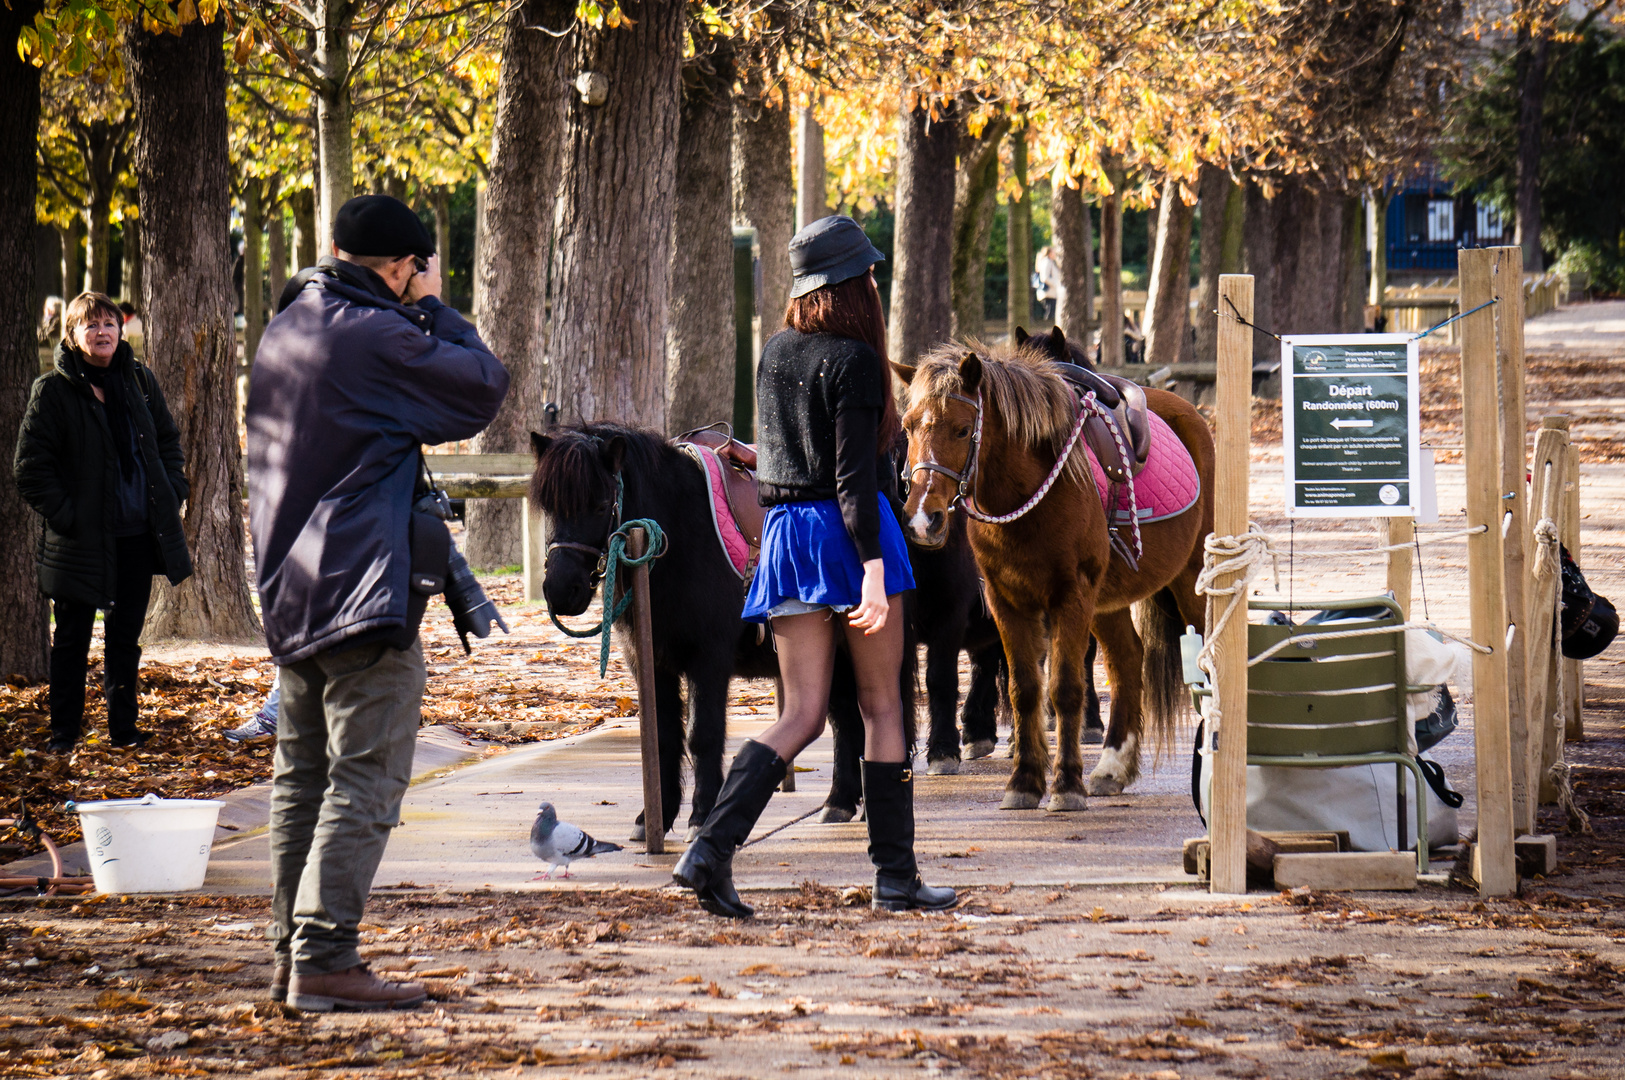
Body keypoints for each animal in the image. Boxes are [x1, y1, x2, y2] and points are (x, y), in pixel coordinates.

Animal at [897, 341, 1215, 805]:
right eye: (907, 428)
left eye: (960, 429)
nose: (924, 520)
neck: (1029, 495)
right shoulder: (1006, 600)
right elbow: (1024, 688)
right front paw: (1025, 781)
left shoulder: (1071, 594)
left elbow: (1064, 689)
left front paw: (1065, 785)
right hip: (1107, 602)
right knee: (1127, 661)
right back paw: (1112, 766)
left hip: (1190, 581)